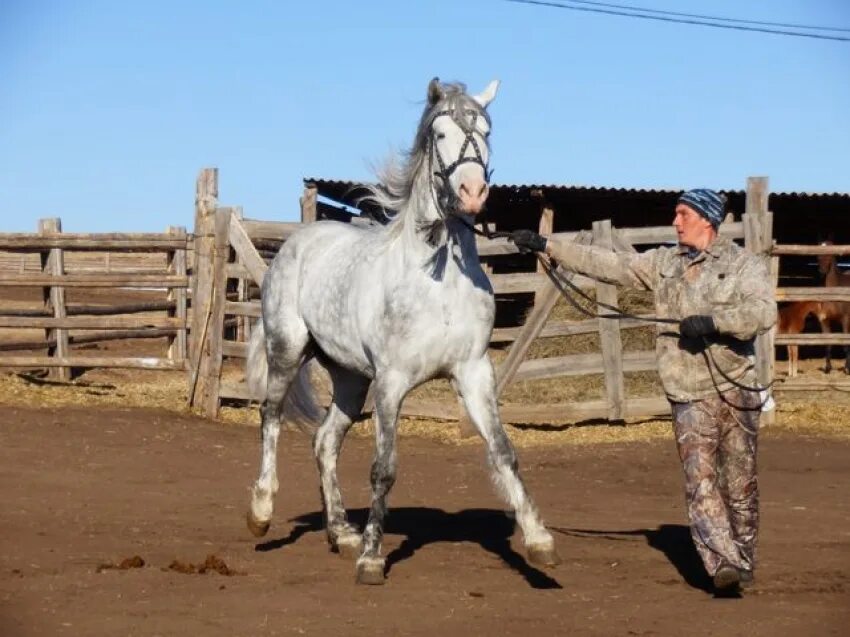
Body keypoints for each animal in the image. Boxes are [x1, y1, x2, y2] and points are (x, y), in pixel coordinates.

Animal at [245, 77, 560, 584]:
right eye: (440, 134)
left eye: (486, 131)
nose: (473, 191)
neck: (438, 280)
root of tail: (298, 242)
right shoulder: (391, 382)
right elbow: (384, 468)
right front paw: (373, 559)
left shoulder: (473, 373)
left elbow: (503, 451)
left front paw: (539, 541)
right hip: (288, 350)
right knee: (270, 417)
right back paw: (261, 513)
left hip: (350, 378)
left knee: (324, 441)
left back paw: (341, 532)